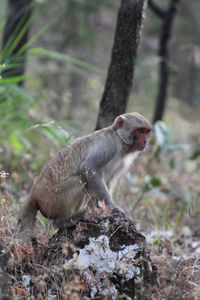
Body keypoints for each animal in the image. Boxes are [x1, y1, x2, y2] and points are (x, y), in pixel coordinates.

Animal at [18, 112, 151, 237]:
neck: (120, 140)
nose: (145, 141)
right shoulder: (109, 144)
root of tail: (34, 193)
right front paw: (112, 207)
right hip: (52, 200)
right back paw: (63, 222)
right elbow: (89, 168)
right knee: (80, 180)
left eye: (147, 132)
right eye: (140, 131)